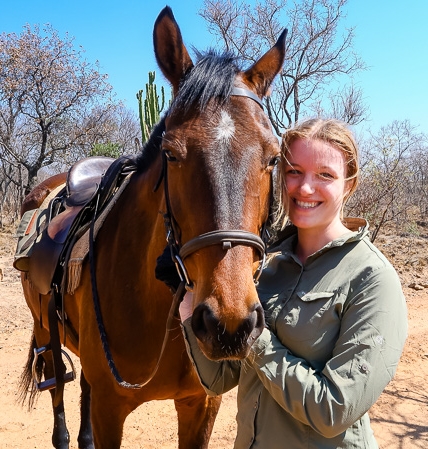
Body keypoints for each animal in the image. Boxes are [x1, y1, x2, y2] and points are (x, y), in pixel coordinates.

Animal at [16, 6, 286, 448]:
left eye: (274, 157)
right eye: (171, 153)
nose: (229, 323)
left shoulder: (202, 405)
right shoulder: (111, 410)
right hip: (44, 333)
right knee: (58, 397)